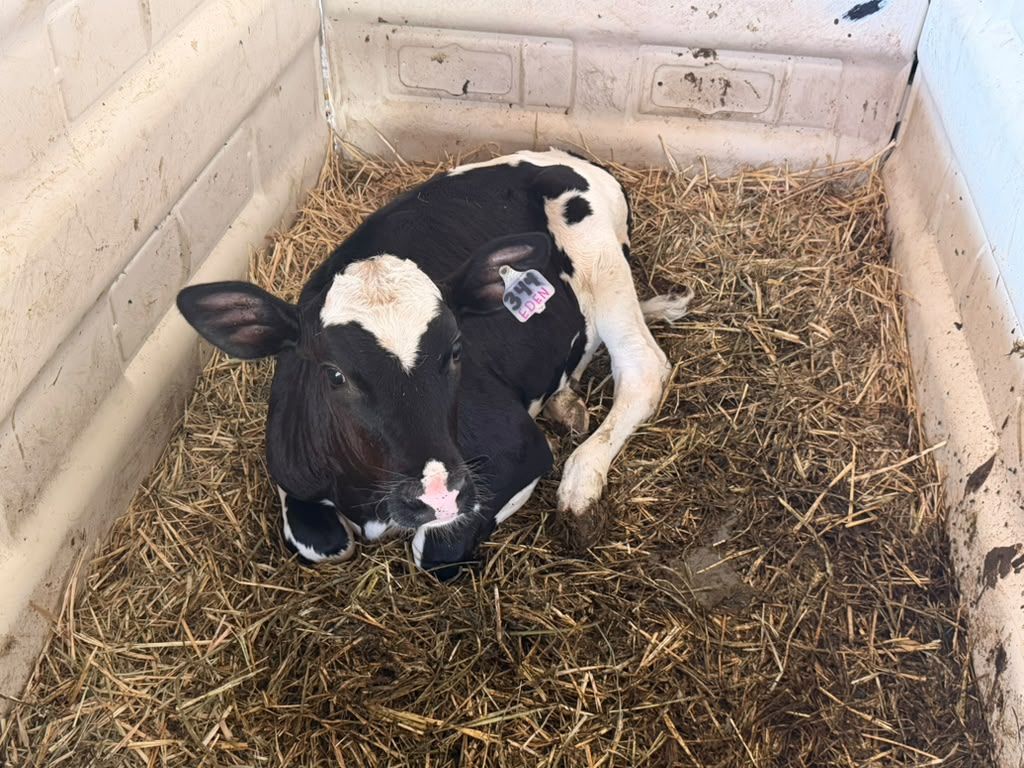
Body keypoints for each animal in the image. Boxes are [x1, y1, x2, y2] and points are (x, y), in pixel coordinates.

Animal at [176, 150, 692, 578]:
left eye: (457, 350)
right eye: (334, 374)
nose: (437, 494)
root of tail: (565, 155)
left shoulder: (520, 451)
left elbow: (435, 552)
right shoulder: (289, 462)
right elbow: (321, 541)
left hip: (594, 246)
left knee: (642, 365)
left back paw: (582, 479)